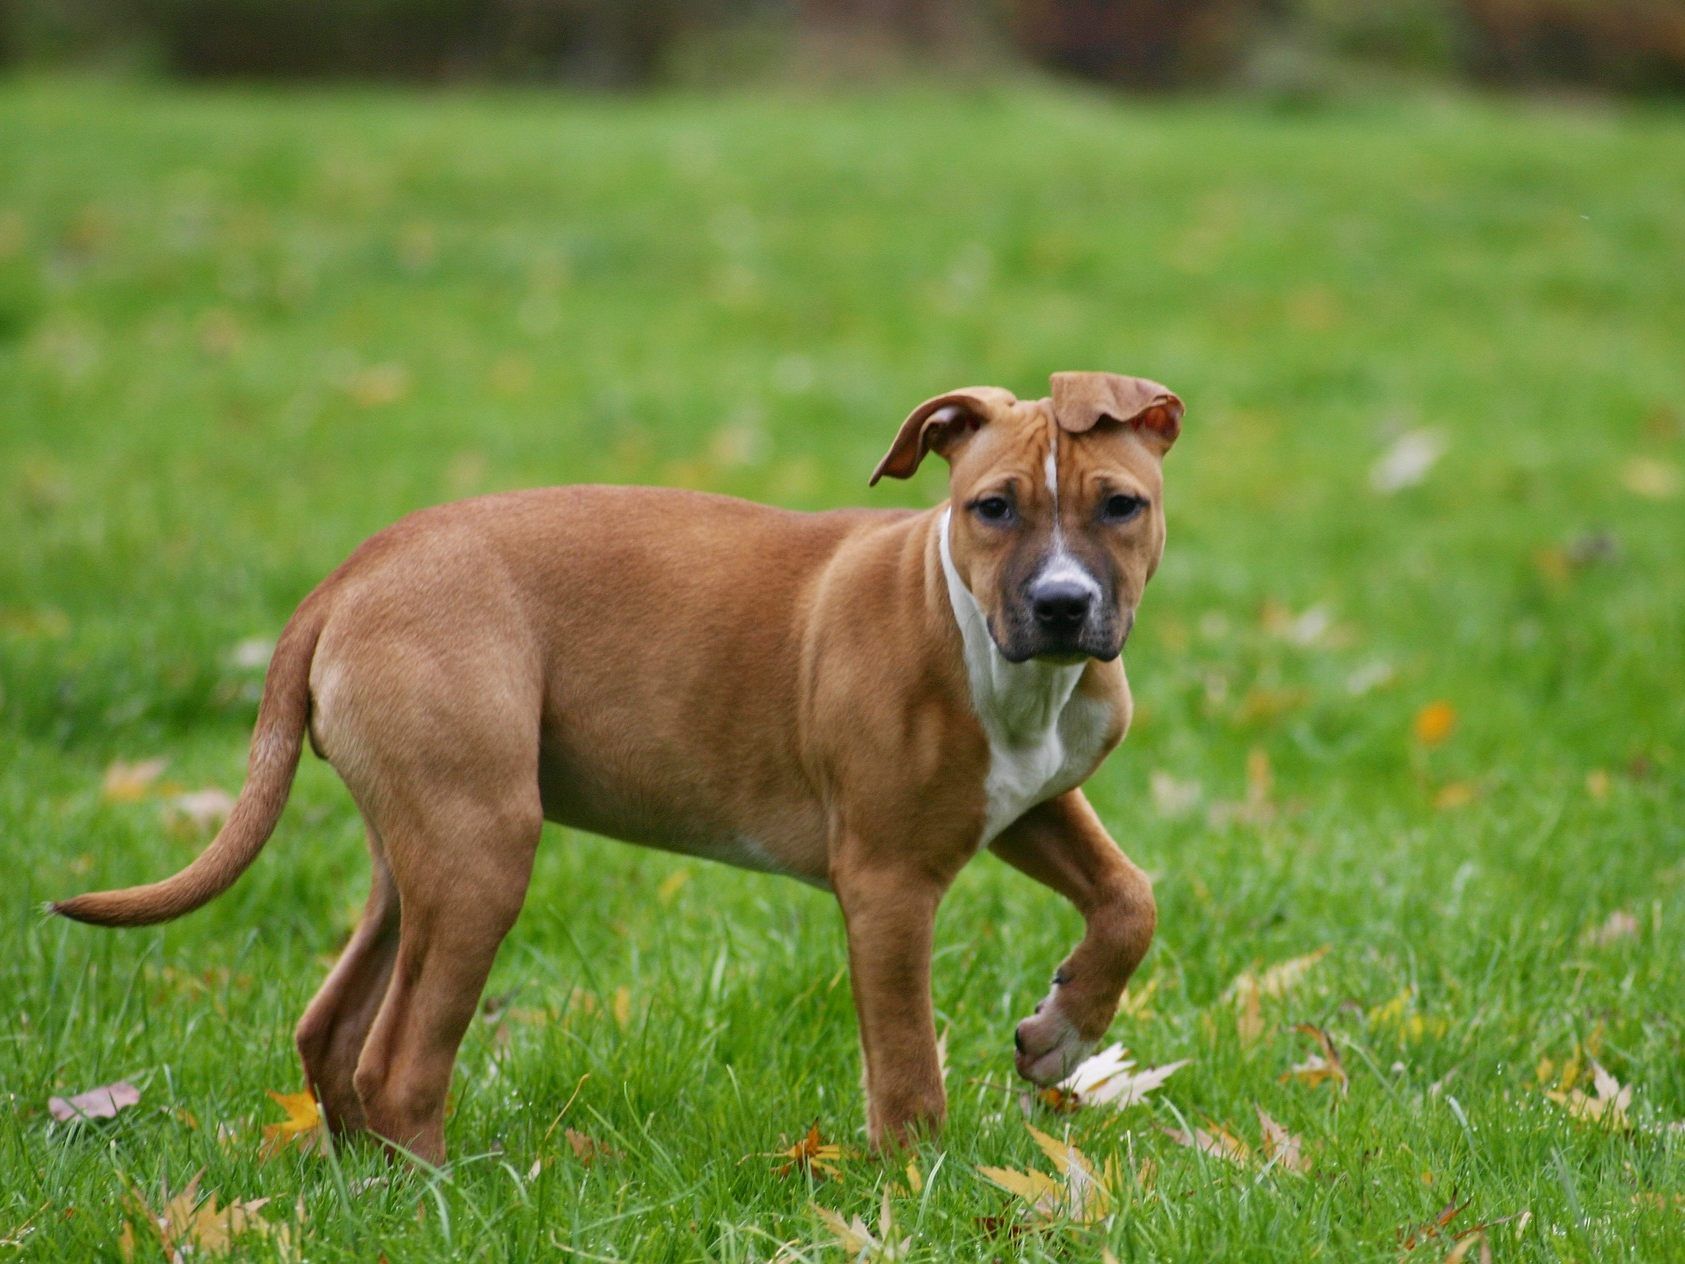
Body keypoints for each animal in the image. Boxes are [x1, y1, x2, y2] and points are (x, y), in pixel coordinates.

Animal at [56, 369, 1186, 1166]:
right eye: (991, 508)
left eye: (1120, 506)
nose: (1060, 607)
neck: (978, 636)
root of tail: (352, 572)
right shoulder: (888, 882)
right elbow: (906, 1063)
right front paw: (918, 1183)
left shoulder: (1027, 804)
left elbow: (1130, 897)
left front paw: (1060, 1035)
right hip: (481, 852)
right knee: (401, 1059)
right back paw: (441, 1198)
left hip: (416, 845)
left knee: (332, 1027)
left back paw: (363, 1180)